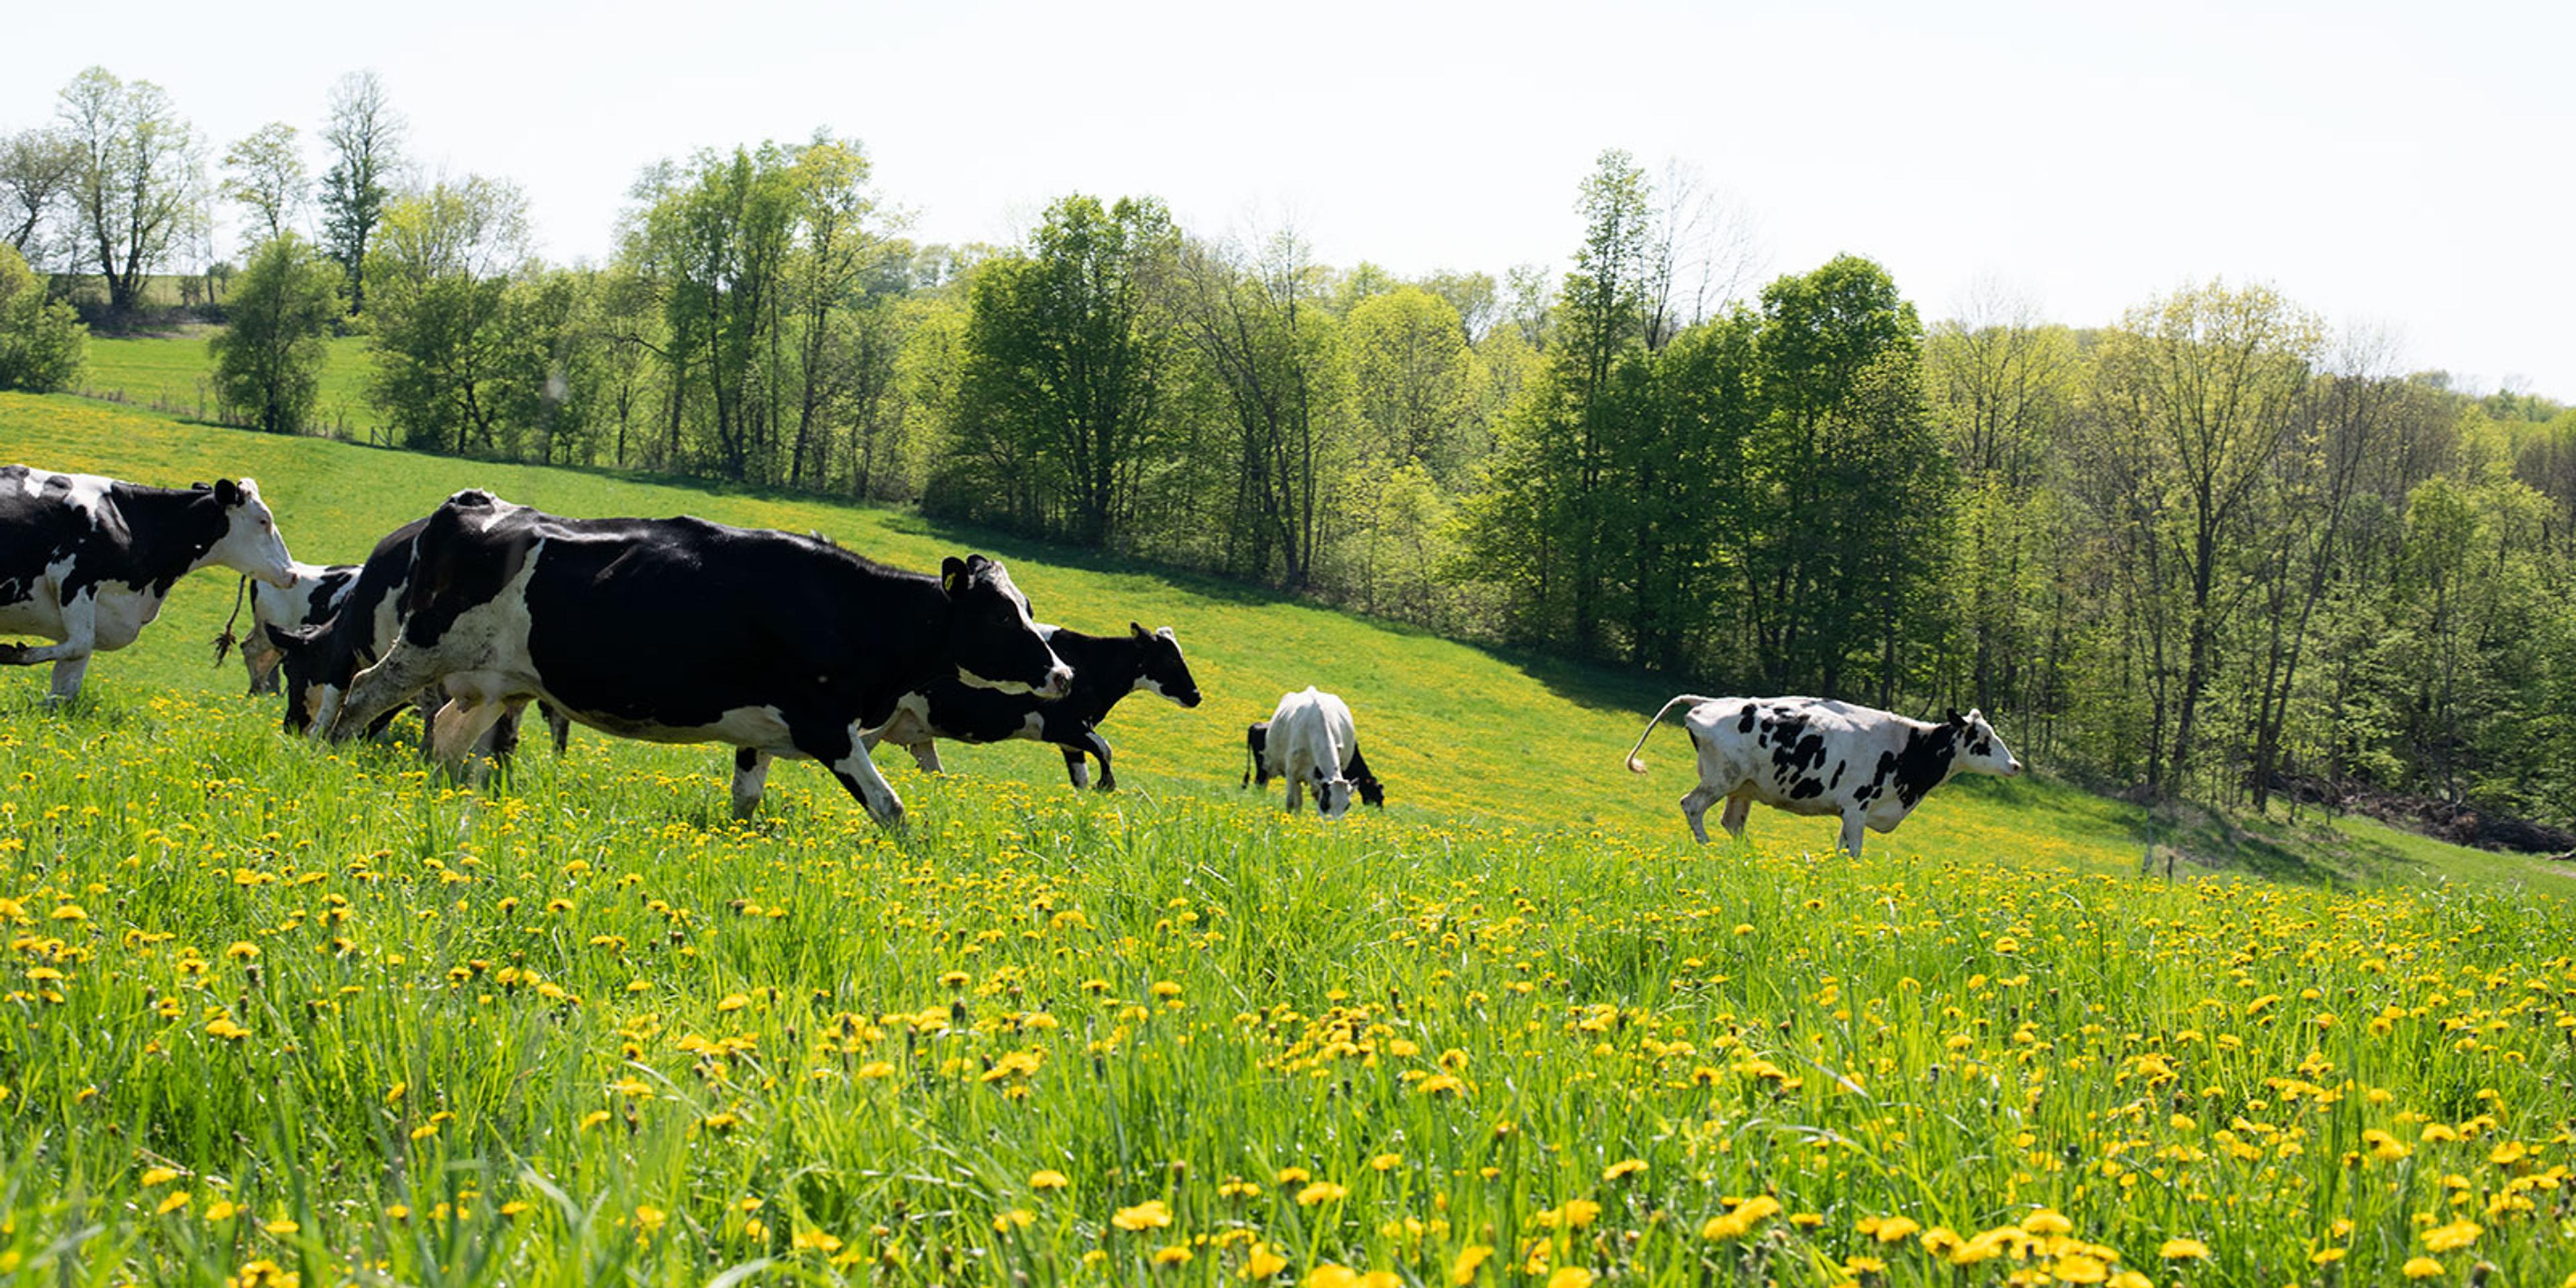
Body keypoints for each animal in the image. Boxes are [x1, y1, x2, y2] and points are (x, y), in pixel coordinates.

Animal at [0, 466, 296, 706]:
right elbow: (81, 644)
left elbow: (68, 680)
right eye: (263, 521)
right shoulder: (74, 579)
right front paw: (13, 653)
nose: (292, 573)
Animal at [327, 492, 1071, 824]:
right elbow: (890, 808)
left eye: (1028, 605)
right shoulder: (825, 725)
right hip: (422, 649)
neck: (848, 609)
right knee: (361, 693)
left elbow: (746, 802)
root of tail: (476, 503)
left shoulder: (763, 731)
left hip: (493, 682)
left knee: (449, 740)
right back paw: (328, 761)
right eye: (1000, 614)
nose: (1062, 674)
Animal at [855, 621, 1195, 788]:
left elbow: (1081, 778)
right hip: (879, 717)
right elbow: (1106, 748)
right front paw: (1107, 784)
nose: (1196, 695)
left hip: (917, 726)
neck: (1090, 666)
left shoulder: (1070, 738)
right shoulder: (1063, 726)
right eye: (1170, 659)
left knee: (933, 769)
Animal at [1617, 695, 2019, 855]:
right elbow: (1855, 851)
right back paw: (1707, 848)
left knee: (1732, 823)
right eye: (1983, 740)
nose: (2015, 765)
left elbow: (1842, 850)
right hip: (1721, 779)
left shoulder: (1852, 812)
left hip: (1742, 789)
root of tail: (1709, 702)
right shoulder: (1857, 806)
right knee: (1692, 805)